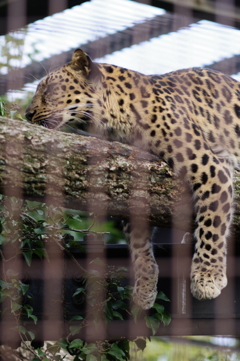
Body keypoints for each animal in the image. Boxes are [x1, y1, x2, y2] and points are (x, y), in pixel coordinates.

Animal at [25, 47, 240, 310]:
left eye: (48, 90)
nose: (27, 114)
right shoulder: (133, 176)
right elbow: (138, 244)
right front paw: (145, 287)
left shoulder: (211, 168)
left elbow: (212, 225)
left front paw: (207, 278)